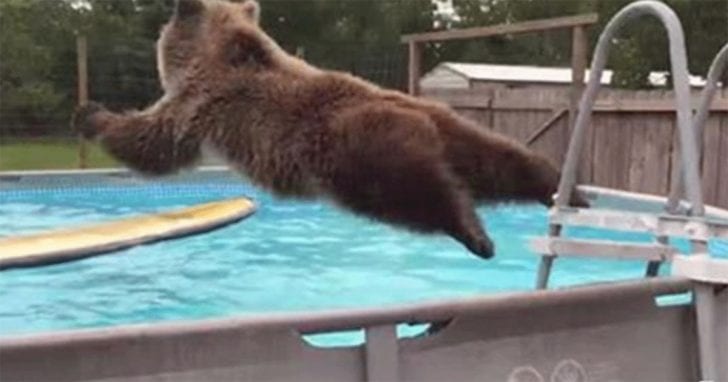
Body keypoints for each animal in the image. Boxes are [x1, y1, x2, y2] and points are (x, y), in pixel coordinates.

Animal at [75, 0, 584, 260]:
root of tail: (419, 116)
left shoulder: (201, 103)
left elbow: (152, 142)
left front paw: (91, 114)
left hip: (355, 154)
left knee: (418, 194)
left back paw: (474, 234)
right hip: (455, 130)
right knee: (503, 161)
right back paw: (564, 191)